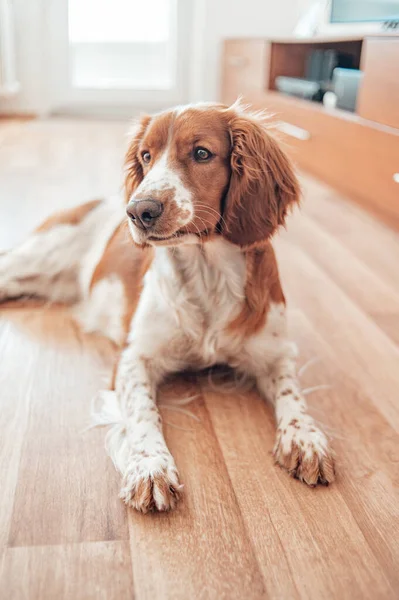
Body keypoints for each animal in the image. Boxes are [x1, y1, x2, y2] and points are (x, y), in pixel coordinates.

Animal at [0, 102, 336, 510]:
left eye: (202, 153)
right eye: (146, 156)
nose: (138, 211)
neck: (207, 274)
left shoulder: (275, 352)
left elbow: (292, 394)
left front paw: (305, 438)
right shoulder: (134, 358)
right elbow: (144, 412)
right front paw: (150, 466)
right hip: (35, 259)